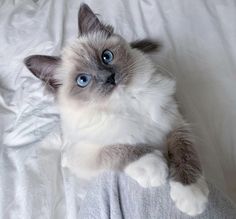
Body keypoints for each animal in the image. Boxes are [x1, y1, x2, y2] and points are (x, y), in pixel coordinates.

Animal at [24, 3, 208, 217]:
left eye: (107, 56)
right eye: (82, 80)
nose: (110, 78)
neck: (127, 101)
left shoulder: (175, 122)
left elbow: (184, 152)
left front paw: (191, 195)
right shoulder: (82, 155)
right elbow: (119, 149)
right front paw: (153, 167)